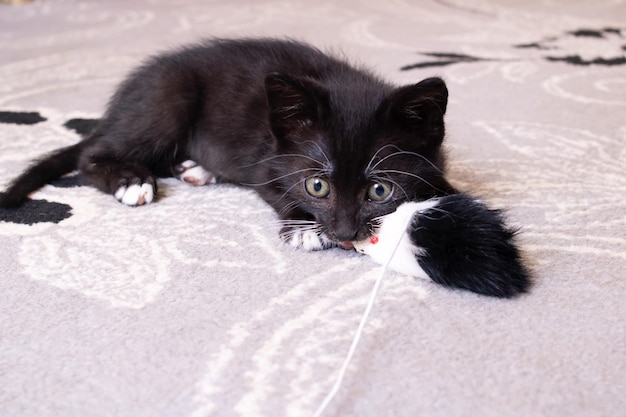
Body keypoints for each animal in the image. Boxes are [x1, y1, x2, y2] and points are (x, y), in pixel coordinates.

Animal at [0, 37, 454, 249]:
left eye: (379, 190)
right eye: (317, 186)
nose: (345, 233)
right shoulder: (266, 162)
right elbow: (275, 190)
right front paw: (303, 227)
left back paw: (196, 168)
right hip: (168, 98)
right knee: (91, 155)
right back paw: (132, 180)